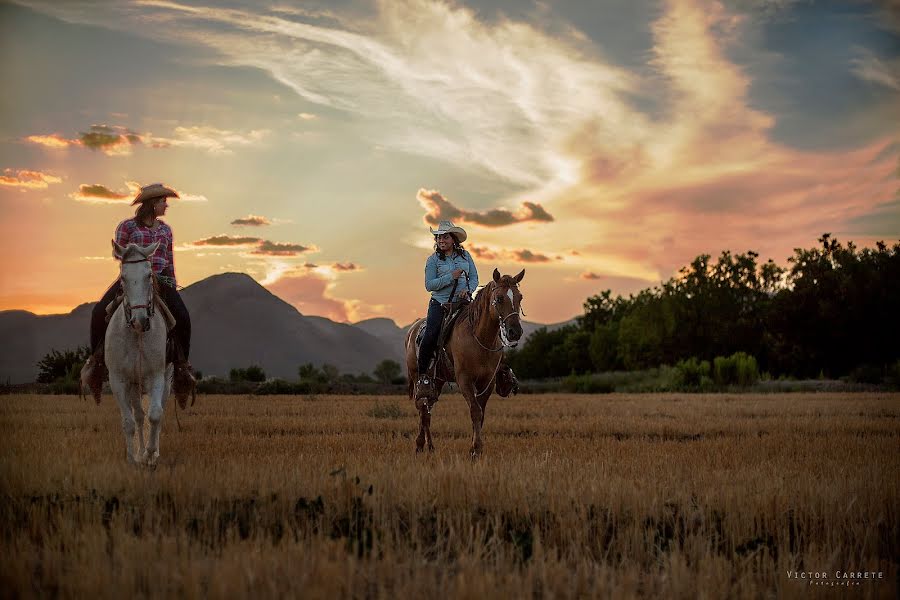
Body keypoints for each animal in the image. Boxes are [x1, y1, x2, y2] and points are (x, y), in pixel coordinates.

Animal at [107, 239, 174, 464]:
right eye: (123, 277)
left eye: (149, 275)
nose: (140, 320)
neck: (136, 336)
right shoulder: (118, 380)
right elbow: (128, 421)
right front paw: (132, 458)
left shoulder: (156, 376)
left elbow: (155, 414)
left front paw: (150, 454)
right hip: (134, 385)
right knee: (137, 416)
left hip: (166, 378)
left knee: (156, 412)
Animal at [404, 268, 524, 460]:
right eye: (499, 298)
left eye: (520, 297)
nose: (515, 332)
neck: (479, 339)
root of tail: (412, 329)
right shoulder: (464, 380)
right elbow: (475, 410)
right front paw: (476, 449)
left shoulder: (487, 382)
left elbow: (481, 413)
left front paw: (475, 449)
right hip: (418, 379)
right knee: (422, 408)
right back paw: (419, 445)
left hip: (437, 381)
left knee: (428, 410)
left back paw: (430, 446)